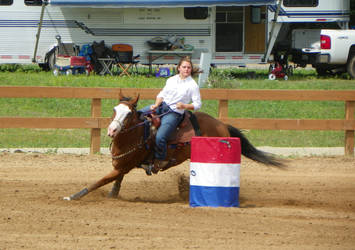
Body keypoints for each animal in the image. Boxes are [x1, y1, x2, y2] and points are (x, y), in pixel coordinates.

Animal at [64, 93, 286, 200]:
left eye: (128, 114)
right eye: (114, 110)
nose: (111, 130)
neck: (137, 134)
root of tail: (222, 125)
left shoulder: (123, 166)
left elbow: (99, 181)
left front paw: (74, 196)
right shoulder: (122, 166)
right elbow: (116, 180)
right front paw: (113, 195)